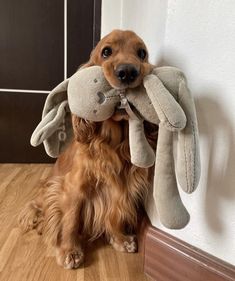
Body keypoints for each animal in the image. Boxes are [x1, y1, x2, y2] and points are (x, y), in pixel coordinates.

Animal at [18, 29, 158, 268]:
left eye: (142, 53)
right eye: (106, 51)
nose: (128, 72)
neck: (114, 143)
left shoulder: (120, 186)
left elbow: (115, 214)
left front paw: (120, 239)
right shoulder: (75, 187)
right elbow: (71, 220)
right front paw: (69, 251)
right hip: (50, 189)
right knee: (40, 209)